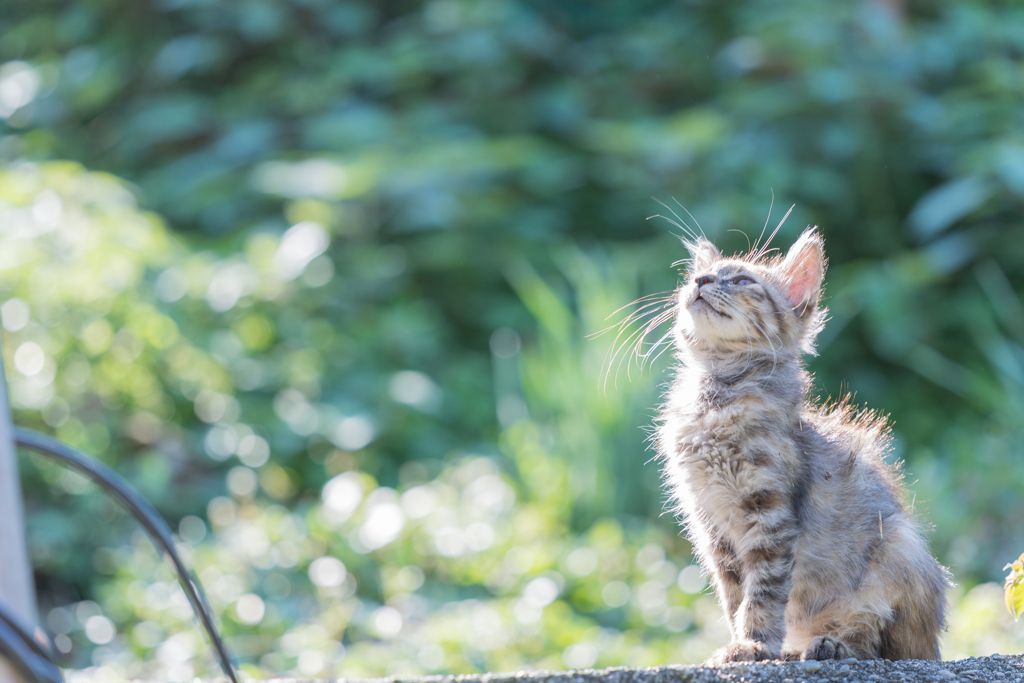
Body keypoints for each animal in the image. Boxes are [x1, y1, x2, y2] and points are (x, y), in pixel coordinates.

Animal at [655, 228, 950, 663]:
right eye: (699, 276)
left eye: (741, 280)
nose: (701, 281)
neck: (717, 395)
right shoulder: (710, 524)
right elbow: (734, 596)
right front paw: (743, 641)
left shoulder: (771, 515)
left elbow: (762, 591)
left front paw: (754, 643)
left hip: (901, 546)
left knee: (880, 643)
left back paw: (831, 645)